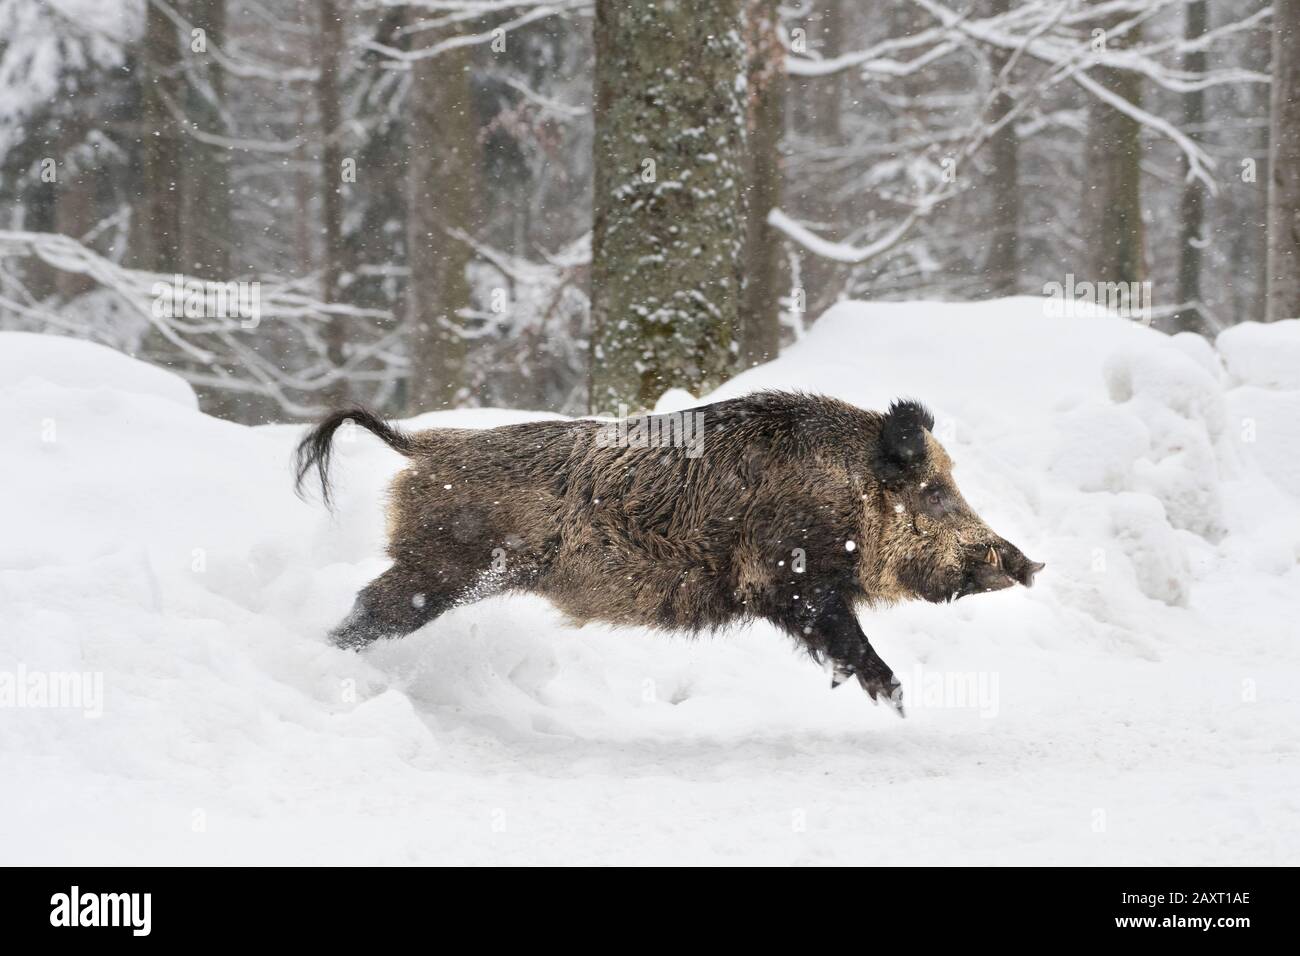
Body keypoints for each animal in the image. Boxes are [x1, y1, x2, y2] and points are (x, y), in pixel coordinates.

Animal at [295, 392, 1043, 716]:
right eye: (936, 492)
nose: (1029, 564)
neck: (844, 489)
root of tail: (420, 445)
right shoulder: (791, 582)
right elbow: (853, 644)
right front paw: (899, 708)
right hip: (441, 568)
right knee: (365, 610)